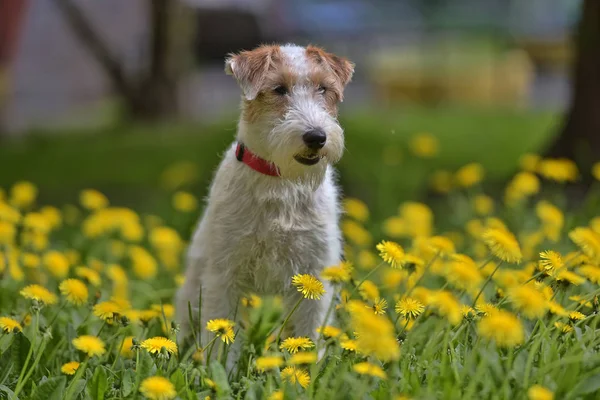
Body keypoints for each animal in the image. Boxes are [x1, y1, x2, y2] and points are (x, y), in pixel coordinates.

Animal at [175, 43, 352, 356]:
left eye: (324, 88)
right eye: (279, 89)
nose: (316, 137)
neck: (281, 180)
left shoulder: (315, 270)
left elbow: (311, 333)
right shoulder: (224, 274)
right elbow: (220, 337)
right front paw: (218, 368)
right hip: (195, 282)